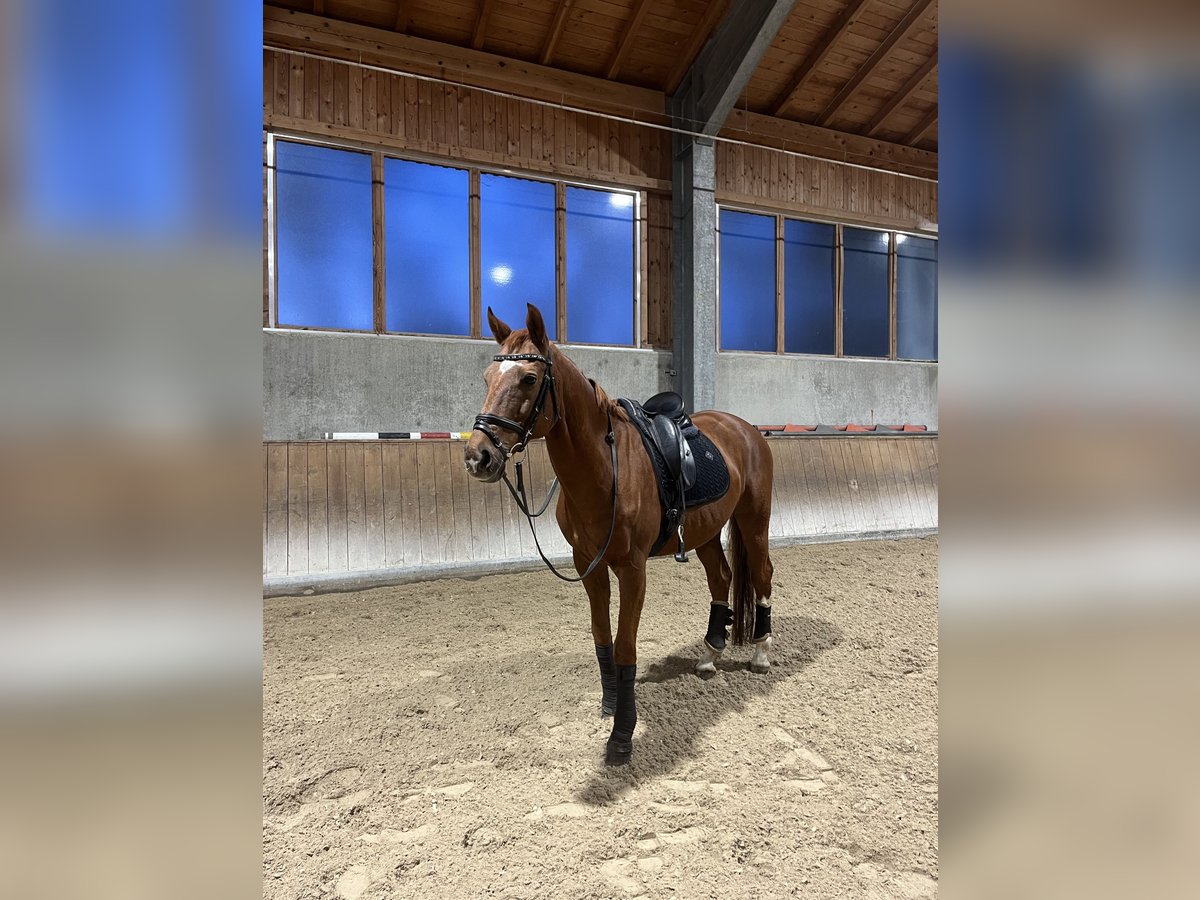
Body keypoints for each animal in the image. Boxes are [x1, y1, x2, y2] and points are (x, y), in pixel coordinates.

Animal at [464, 303, 775, 765]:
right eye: (487, 378)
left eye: (529, 379)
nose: (478, 456)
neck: (604, 471)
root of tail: (744, 428)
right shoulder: (589, 567)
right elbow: (601, 638)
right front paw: (609, 704)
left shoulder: (632, 570)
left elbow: (626, 647)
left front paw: (622, 736)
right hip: (704, 533)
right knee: (721, 579)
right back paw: (709, 655)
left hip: (754, 522)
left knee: (762, 575)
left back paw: (761, 652)